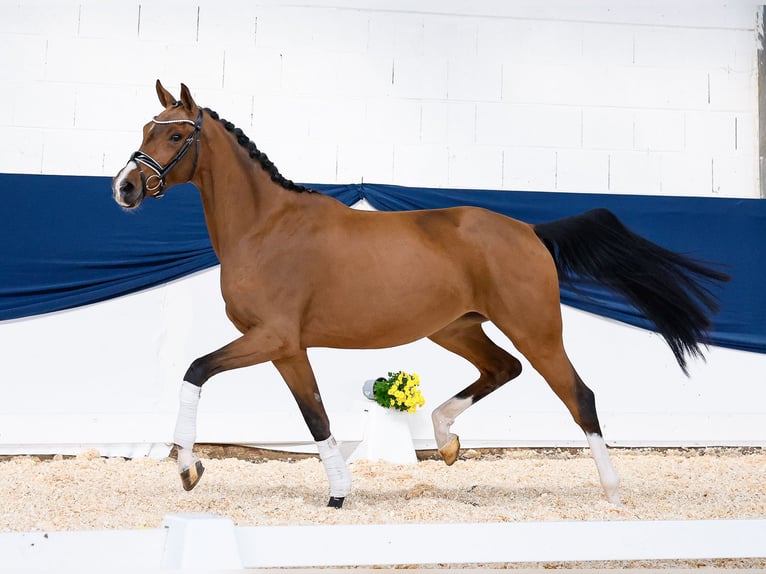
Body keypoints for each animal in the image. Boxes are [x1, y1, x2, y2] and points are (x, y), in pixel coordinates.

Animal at [112, 81, 732, 508]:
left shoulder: (274, 339)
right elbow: (314, 416)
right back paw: (446, 439)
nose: (124, 188)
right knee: (502, 369)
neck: (266, 227)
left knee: (579, 395)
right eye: (143, 130)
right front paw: (338, 492)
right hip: (455, 328)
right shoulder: (287, 349)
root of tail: (531, 230)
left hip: (535, 329)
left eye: (175, 134)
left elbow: (198, 372)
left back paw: (613, 492)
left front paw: (189, 471)